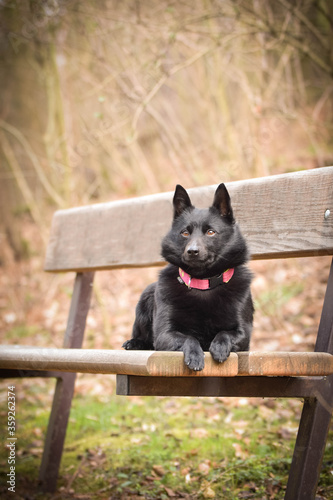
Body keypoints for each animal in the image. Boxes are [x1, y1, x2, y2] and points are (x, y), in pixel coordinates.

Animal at [123, 185, 253, 372]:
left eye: (211, 232)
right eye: (185, 233)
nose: (192, 251)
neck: (203, 282)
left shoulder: (243, 334)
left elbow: (226, 333)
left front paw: (219, 346)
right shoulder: (165, 334)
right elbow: (189, 338)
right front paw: (195, 355)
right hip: (146, 297)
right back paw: (134, 343)